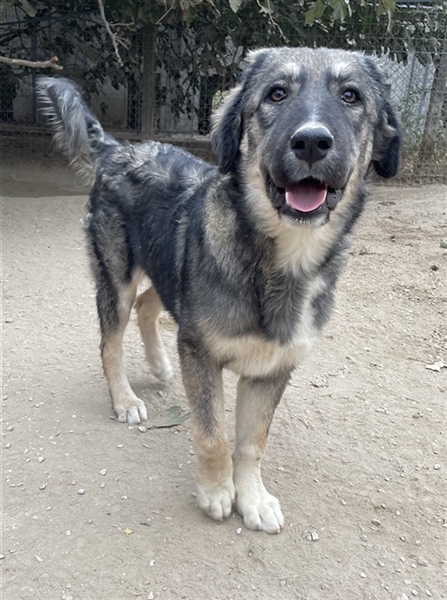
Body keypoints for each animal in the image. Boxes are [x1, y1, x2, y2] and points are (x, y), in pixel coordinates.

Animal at [37, 47, 401, 534]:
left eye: (351, 96)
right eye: (276, 94)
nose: (311, 142)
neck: (278, 263)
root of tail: (121, 148)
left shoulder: (271, 367)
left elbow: (252, 442)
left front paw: (253, 497)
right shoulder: (200, 351)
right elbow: (212, 435)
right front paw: (215, 492)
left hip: (167, 270)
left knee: (149, 306)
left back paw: (159, 364)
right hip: (116, 275)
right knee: (110, 342)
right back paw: (125, 399)